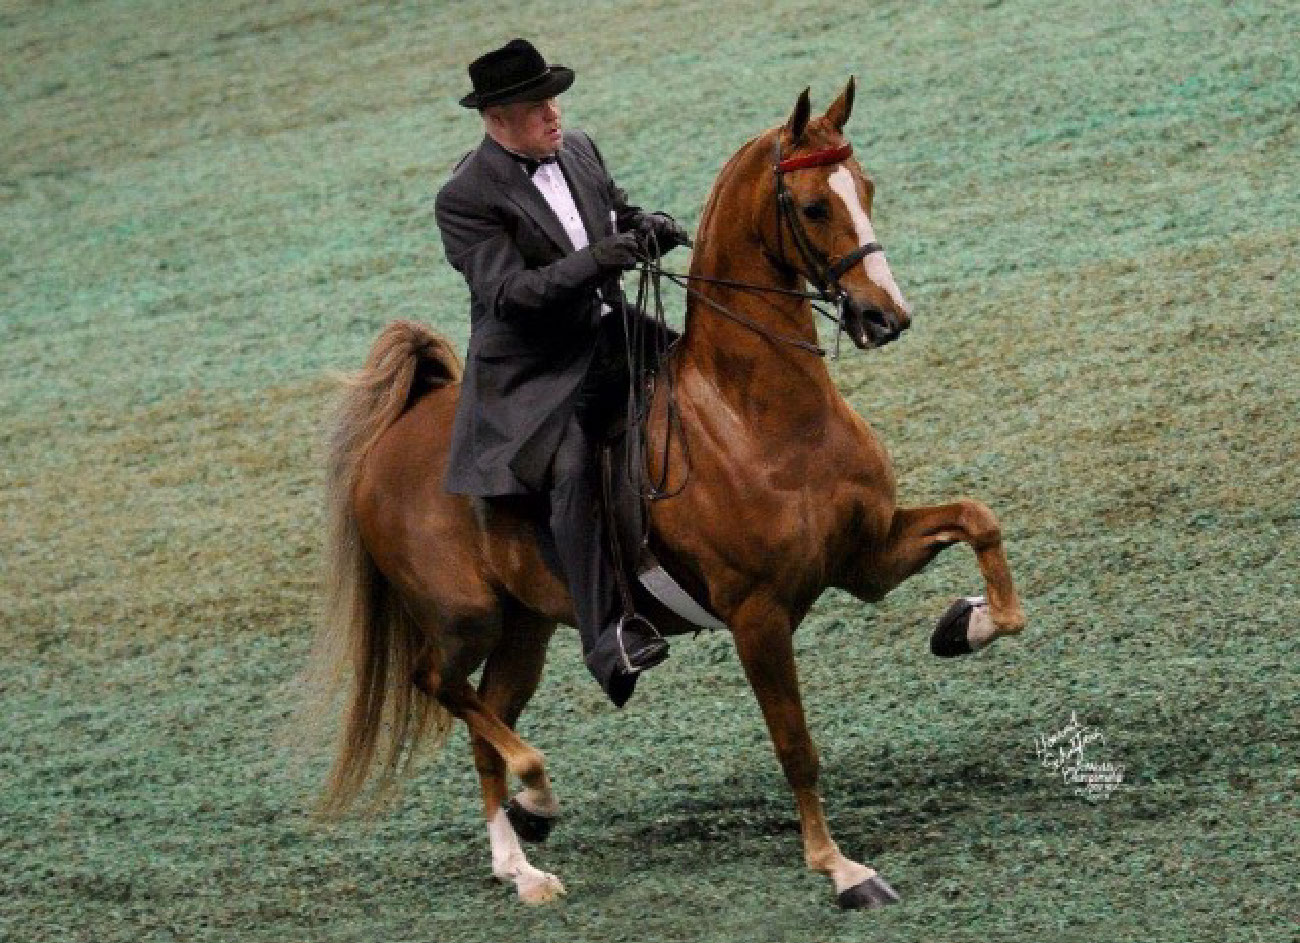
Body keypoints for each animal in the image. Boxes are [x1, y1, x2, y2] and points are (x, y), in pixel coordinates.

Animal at [310, 78, 1027, 909]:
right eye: (814, 205)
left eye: (867, 188)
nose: (885, 316)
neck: (755, 413)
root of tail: (392, 437)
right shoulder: (757, 614)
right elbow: (795, 742)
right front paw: (842, 867)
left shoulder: (866, 556)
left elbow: (979, 521)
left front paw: (965, 624)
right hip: (467, 617)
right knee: (441, 684)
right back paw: (535, 795)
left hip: (526, 627)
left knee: (486, 719)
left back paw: (522, 860)